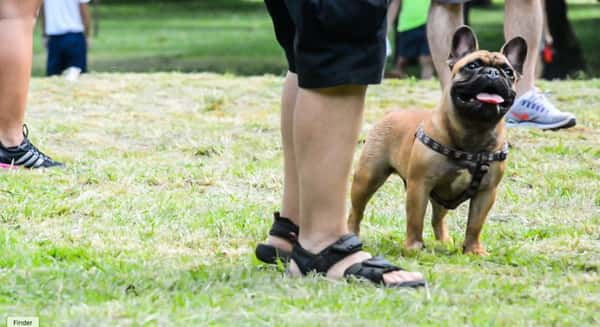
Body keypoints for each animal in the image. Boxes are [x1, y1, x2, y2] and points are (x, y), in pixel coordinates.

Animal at [350, 26, 528, 256]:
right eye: (472, 65)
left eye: (508, 72)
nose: (492, 73)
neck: (473, 129)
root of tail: (392, 113)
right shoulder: (419, 185)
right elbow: (415, 219)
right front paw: (413, 247)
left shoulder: (486, 193)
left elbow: (475, 224)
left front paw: (473, 250)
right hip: (368, 178)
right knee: (356, 210)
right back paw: (352, 234)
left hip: (443, 194)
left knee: (438, 217)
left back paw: (444, 241)